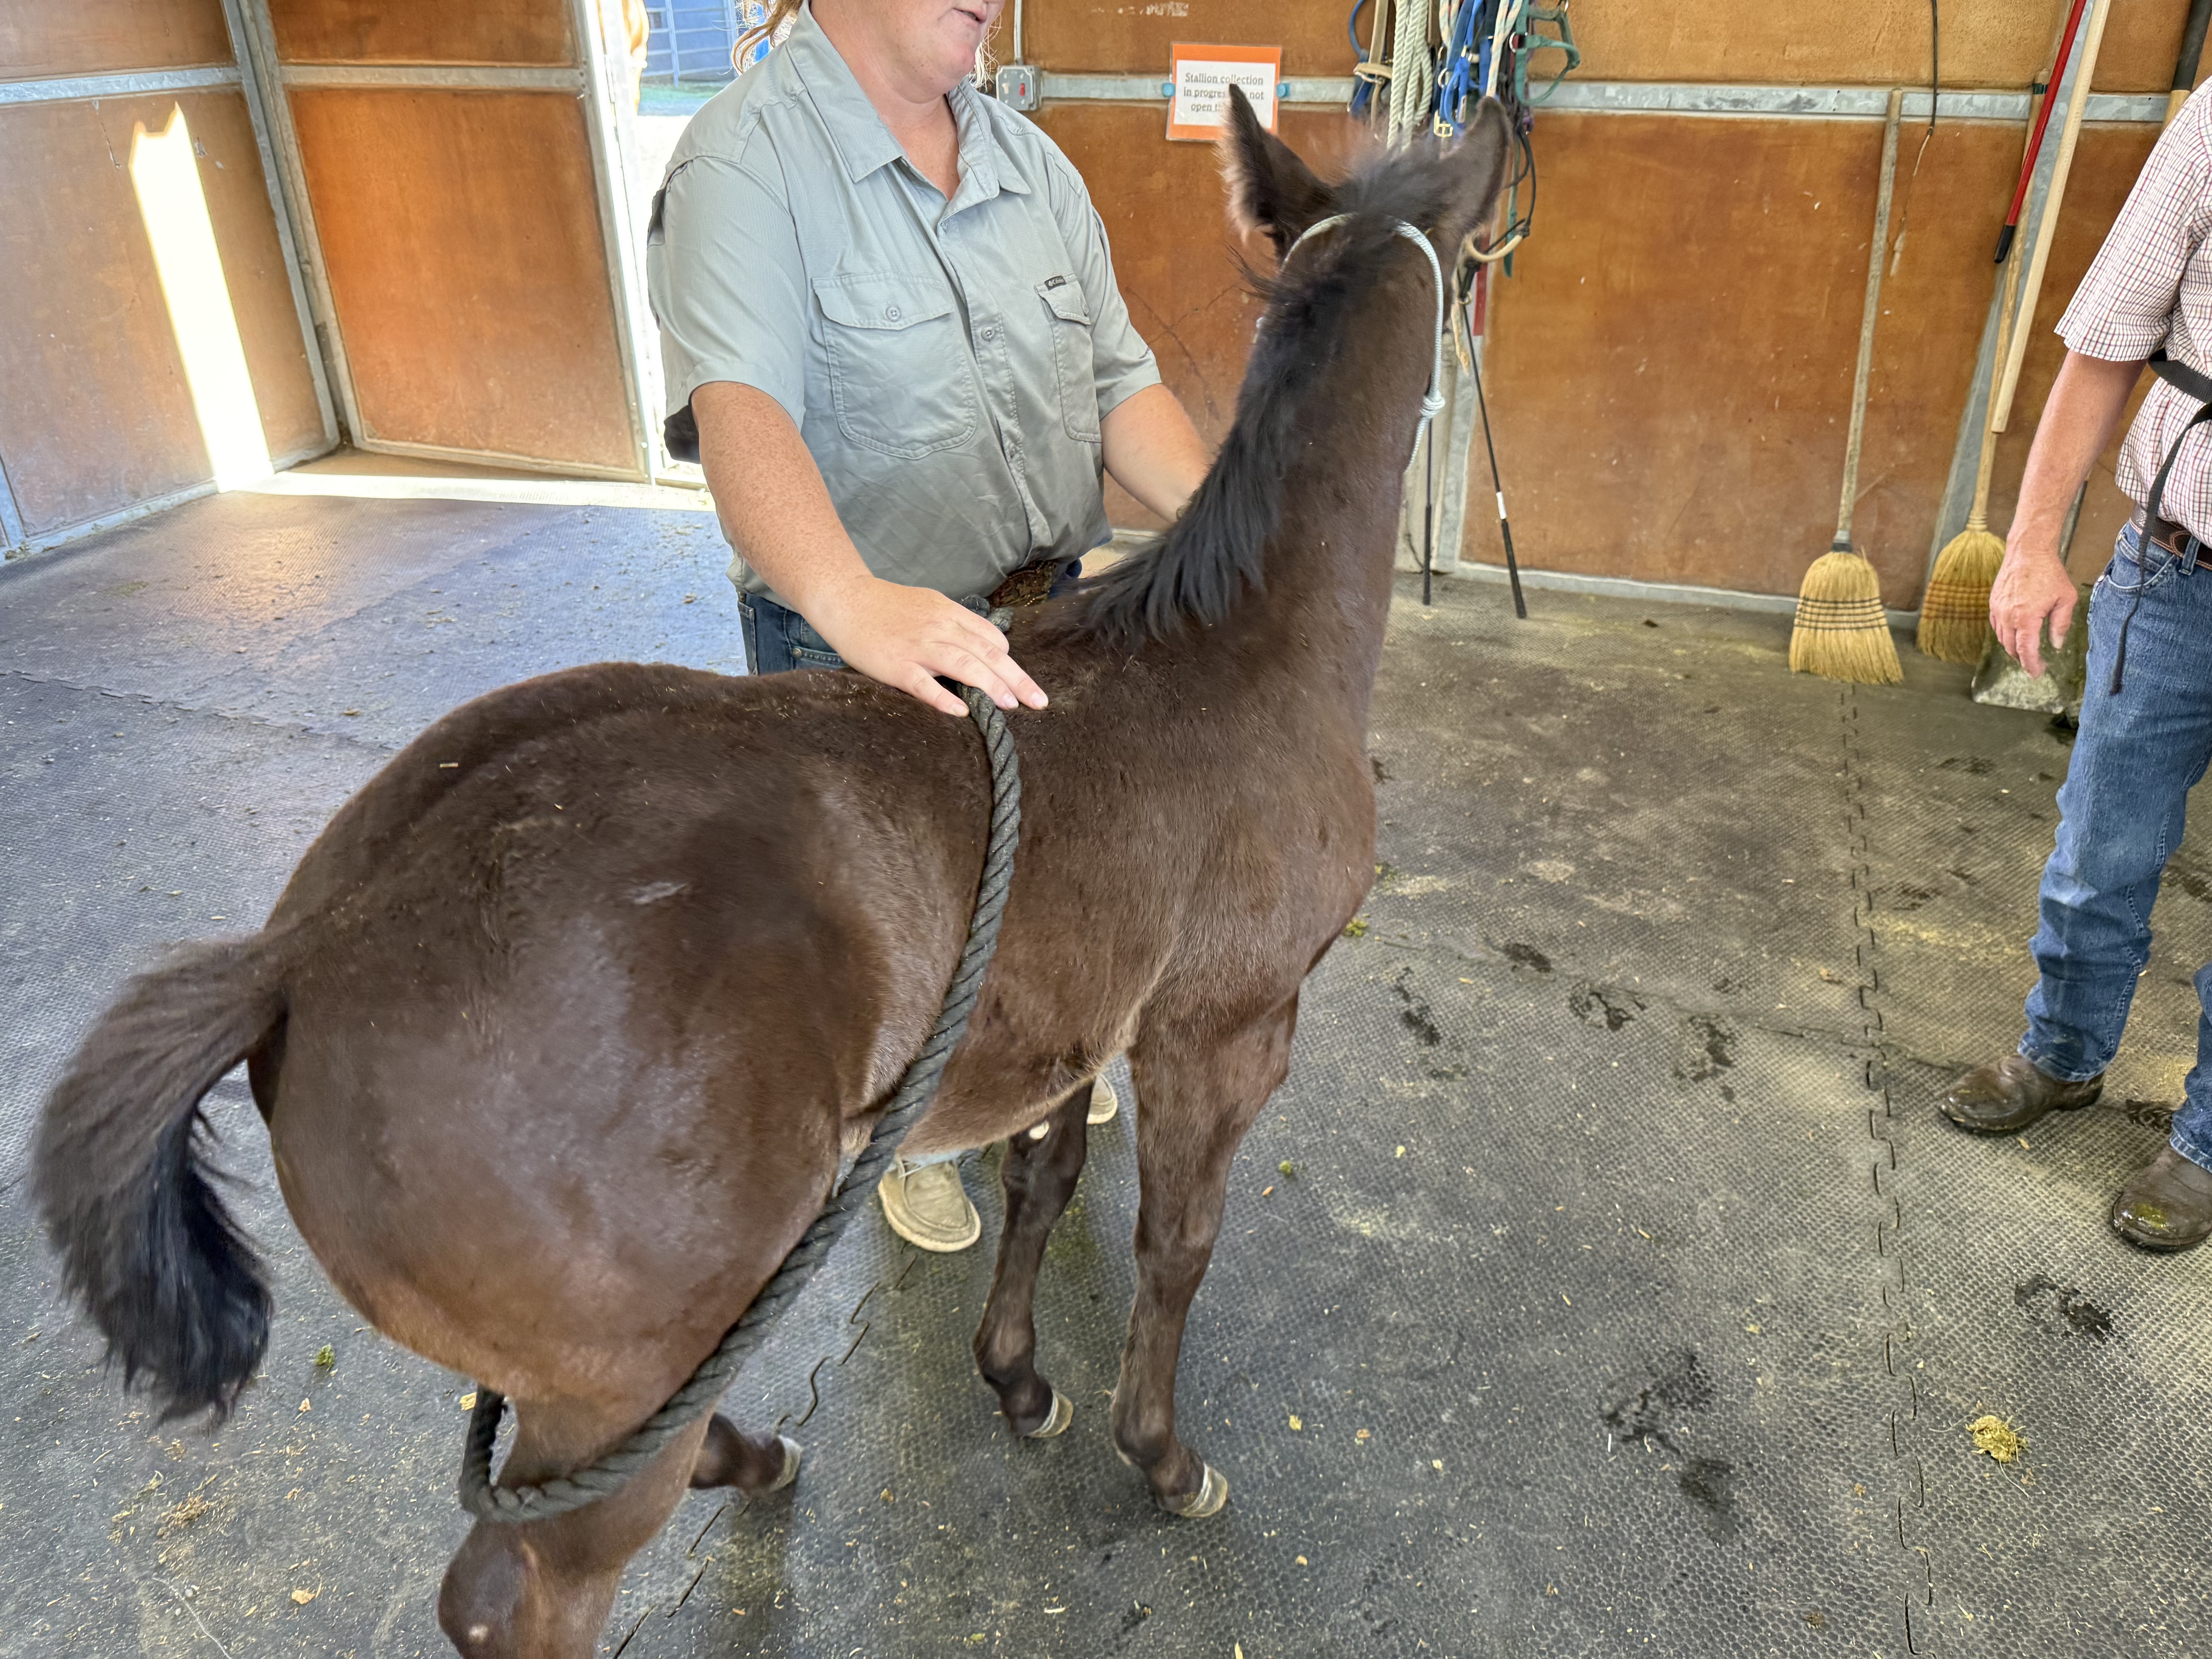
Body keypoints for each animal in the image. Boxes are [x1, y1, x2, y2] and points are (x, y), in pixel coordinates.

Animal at [32, 91, 1509, 1657]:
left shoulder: (1072, 1018)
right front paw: (1161, 1458)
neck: (1231, 651)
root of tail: (303, 952)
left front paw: (1018, 1379)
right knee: (516, 1586)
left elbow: (1046, 1179)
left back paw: (754, 1454)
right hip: (626, 1366)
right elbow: (1177, 1243)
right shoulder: (1225, 1027)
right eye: (1470, 277)